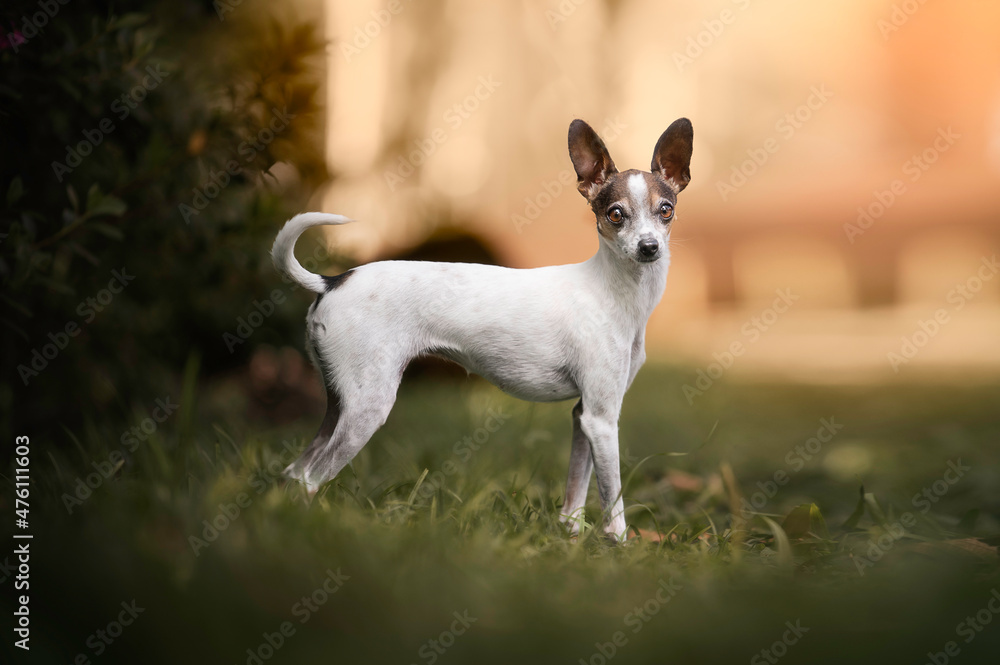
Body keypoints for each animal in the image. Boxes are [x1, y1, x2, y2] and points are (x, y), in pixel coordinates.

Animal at [274, 116, 696, 536]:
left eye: (665, 210)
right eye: (615, 214)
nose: (649, 247)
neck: (612, 292)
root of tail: (331, 281)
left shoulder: (584, 416)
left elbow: (576, 493)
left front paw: (571, 538)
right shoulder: (602, 420)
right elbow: (613, 500)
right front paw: (618, 544)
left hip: (339, 404)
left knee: (294, 472)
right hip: (368, 407)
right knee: (309, 478)